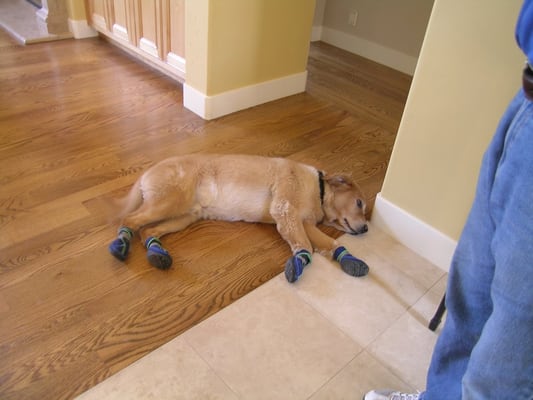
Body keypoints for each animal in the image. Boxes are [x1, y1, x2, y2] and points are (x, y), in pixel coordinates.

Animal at [106, 153, 368, 282]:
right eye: (359, 203)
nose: (366, 228)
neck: (317, 190)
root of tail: (146, 172)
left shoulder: (304, 223)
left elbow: (330, 243)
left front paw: (350, 260)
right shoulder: (285, 211)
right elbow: (305, 246)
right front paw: (299, 262)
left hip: (184, 216)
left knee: (147, 231)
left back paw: (157, 253)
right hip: (169, 202)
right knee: (130, 220)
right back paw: (121, 244)